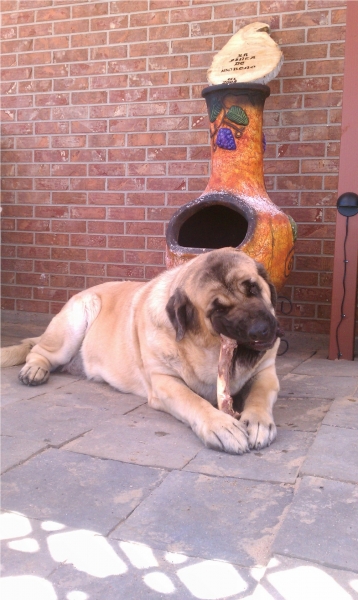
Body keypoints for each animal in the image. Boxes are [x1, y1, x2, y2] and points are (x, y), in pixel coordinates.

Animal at [2, 248, 282, 454]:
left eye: (253, 288)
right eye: (218, 310)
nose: (260, 330)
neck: (208, 350)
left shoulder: (266, 372)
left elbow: (259, 395)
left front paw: (257, 422)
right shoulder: (164, 382)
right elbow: (195, 401)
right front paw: (222, 426)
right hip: (73, 324)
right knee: (37, 351)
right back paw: (34, 370)